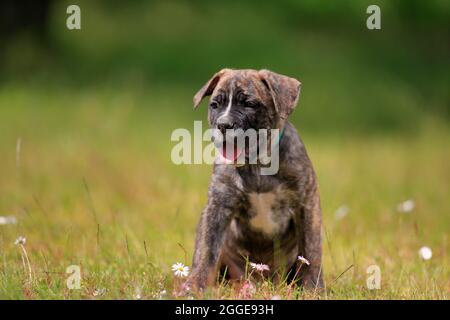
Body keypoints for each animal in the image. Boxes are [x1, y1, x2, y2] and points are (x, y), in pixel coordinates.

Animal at [187, 69, 324, 292]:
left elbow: (311, 252)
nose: (223, 125)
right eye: (215, 105)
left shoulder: (306, 205)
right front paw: (194, 286)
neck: (257, 164)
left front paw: (313, 289)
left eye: (249, 104)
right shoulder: (217, 206)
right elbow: (206, 250)